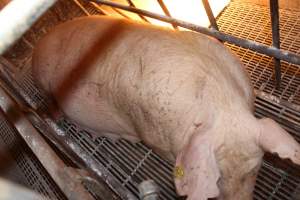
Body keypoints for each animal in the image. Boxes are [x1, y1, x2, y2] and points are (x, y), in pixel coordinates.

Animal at [31, 16, 300, 200]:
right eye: (218, 178)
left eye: (255, 169)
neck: (223, 106)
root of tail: (39, 44)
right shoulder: (152, 136)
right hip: (46, 83)